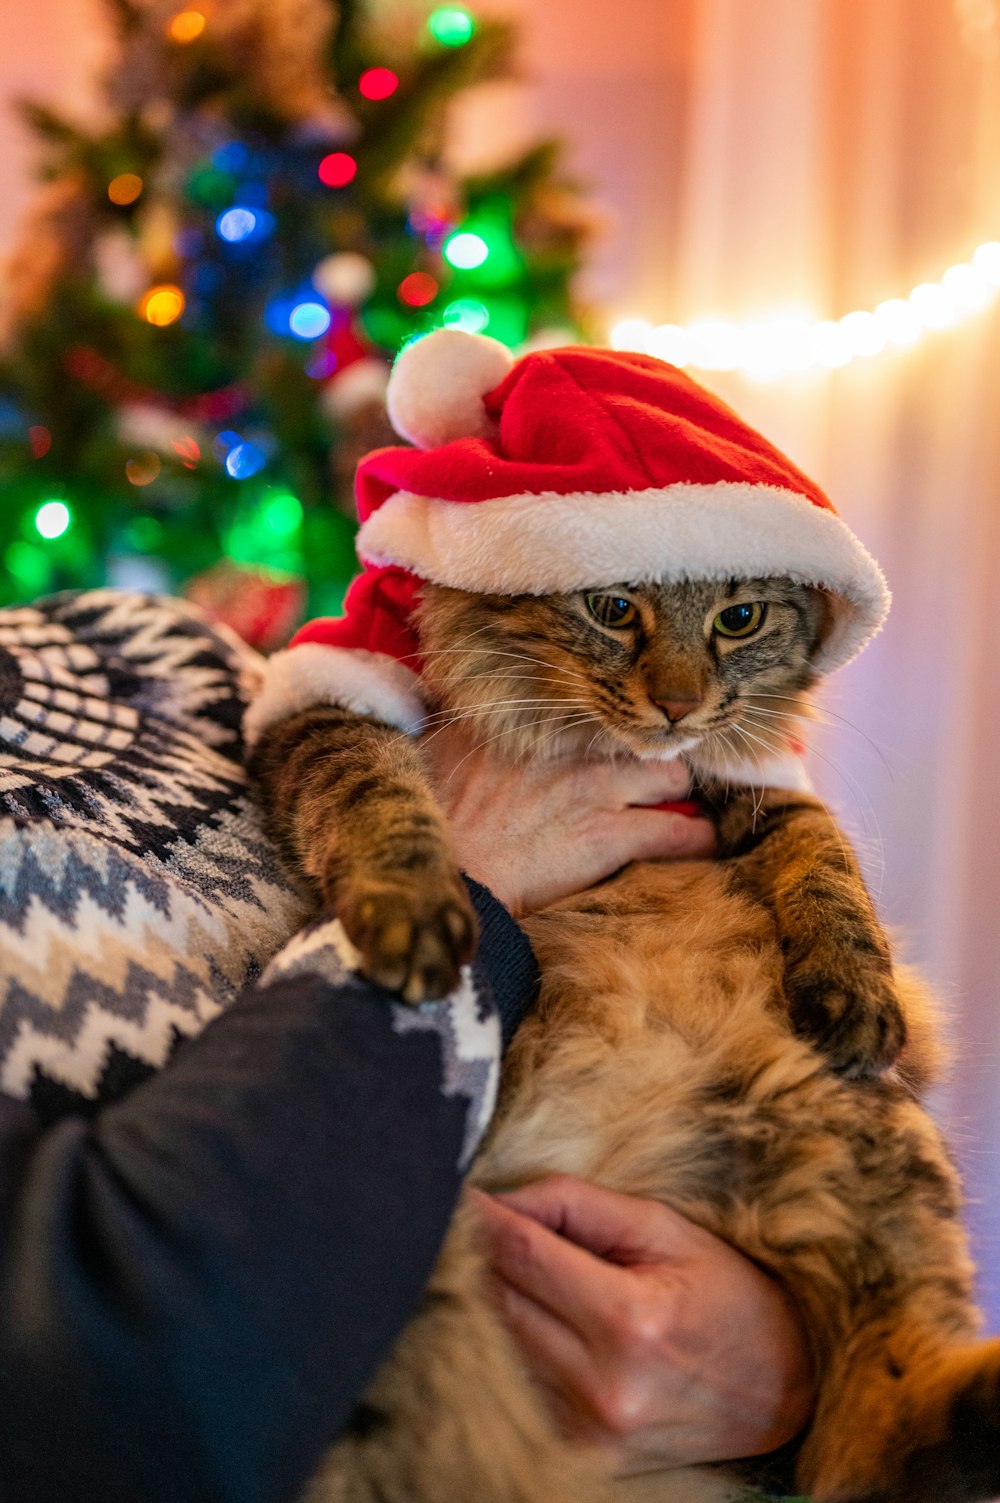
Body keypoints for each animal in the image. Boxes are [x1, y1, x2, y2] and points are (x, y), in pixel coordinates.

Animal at [248, 571, 998, 1503]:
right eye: (612, 609)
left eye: (739, 618)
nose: (678, 706)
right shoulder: (327, 714)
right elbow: (381, 798)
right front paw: (415, 910)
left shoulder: (747, 778)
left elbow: (825, 860)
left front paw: (854, 986)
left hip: (870, 1136)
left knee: (869, 1441)